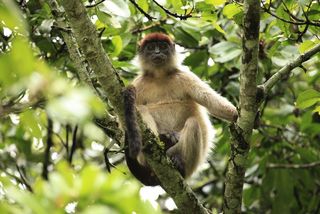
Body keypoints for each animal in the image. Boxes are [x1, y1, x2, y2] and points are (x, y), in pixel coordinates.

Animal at [124, 32, 238, 186]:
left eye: (162, 46)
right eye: (151, 47)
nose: (157, 52)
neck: (159, 76)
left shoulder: (184, 76)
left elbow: (211, 102)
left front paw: (238, 115)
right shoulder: (139, 83)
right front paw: (168, 134)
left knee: (193, 123)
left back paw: (179, 163)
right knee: (141, 109)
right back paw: (160, 141)